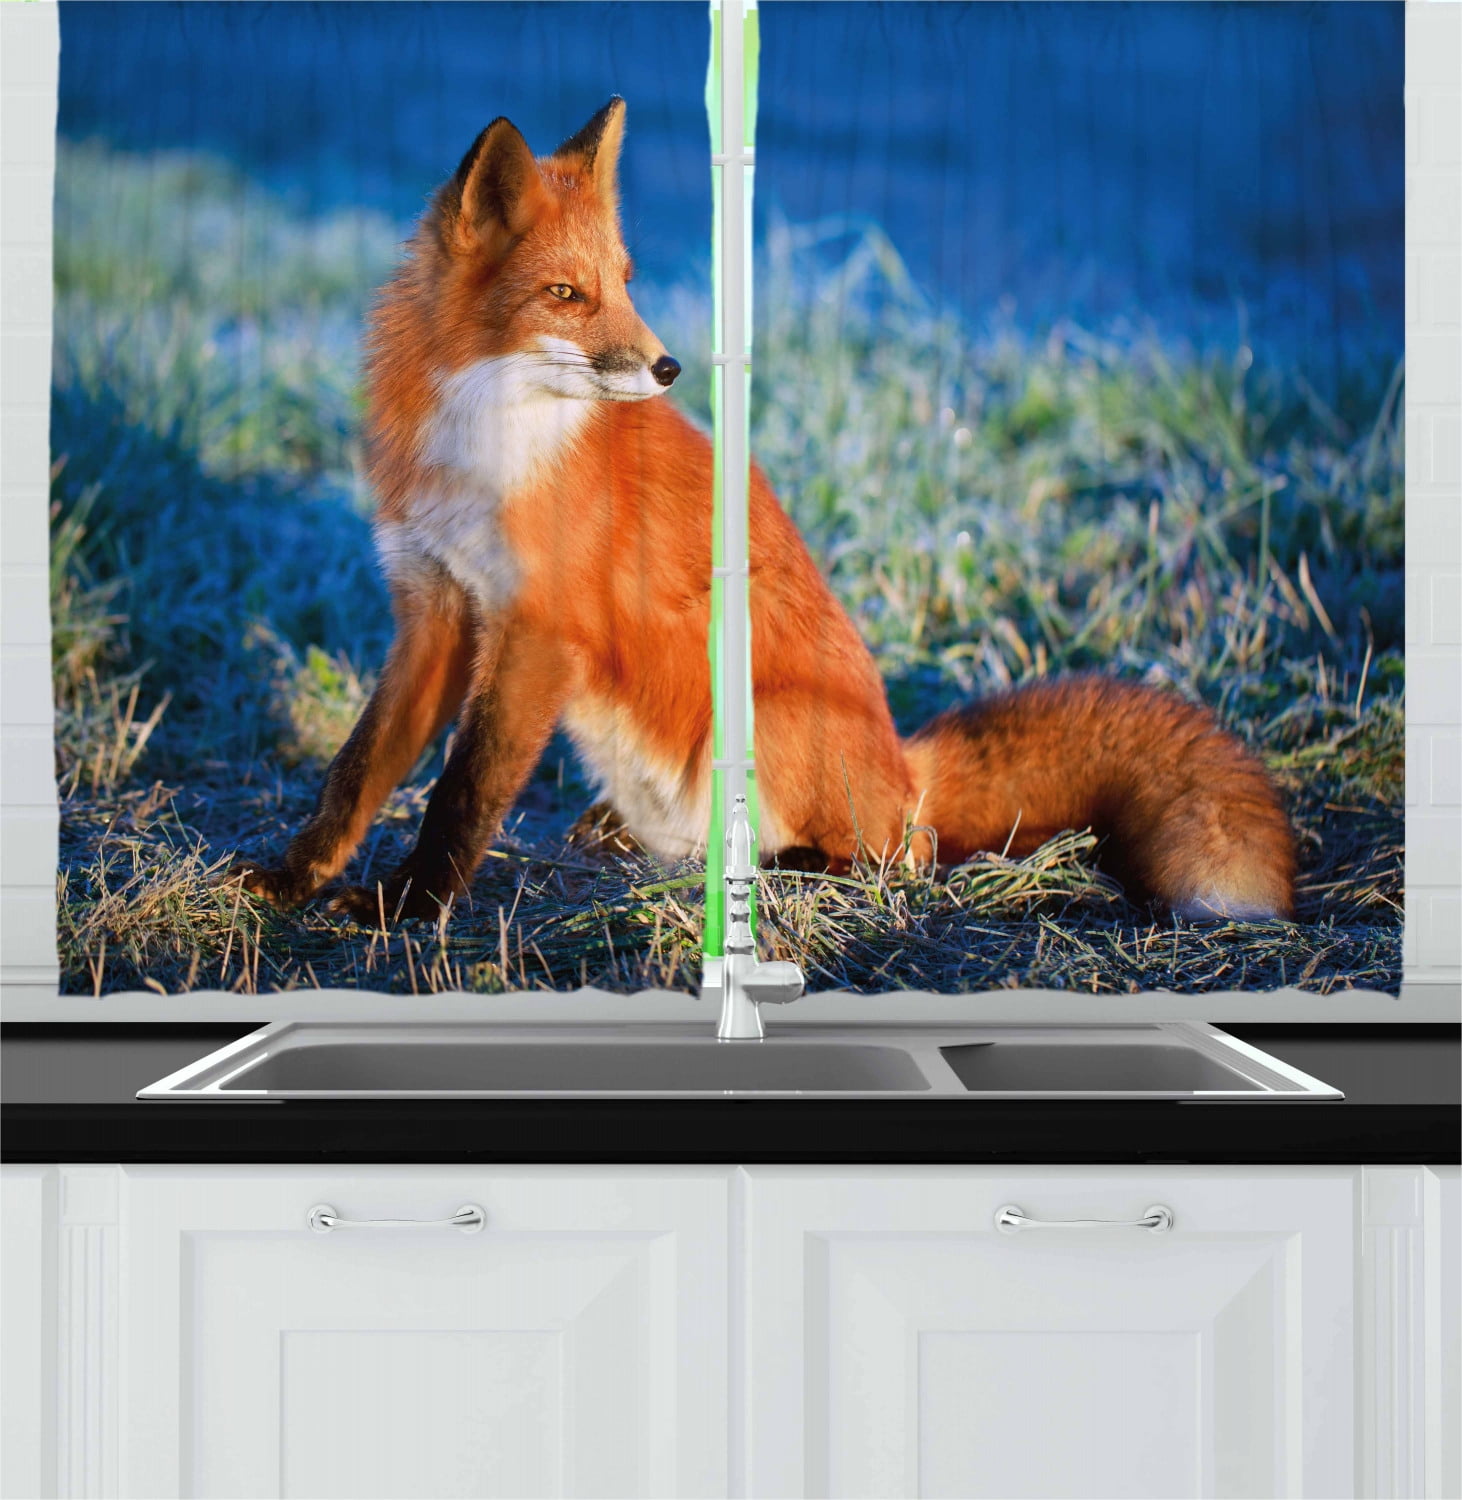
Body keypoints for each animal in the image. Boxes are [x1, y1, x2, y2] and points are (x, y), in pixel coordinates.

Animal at [234, 98, 1296, 926]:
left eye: (624, 281)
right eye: (566, 294)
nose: (668, 367)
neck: (485, 446)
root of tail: (904, 769)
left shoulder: (537, 628)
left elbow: (464, 789)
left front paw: (407, 909)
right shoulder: (434, 609)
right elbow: (358, 770)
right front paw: (294, 877)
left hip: (754, 709)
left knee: (893, 861)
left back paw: (789, 871)